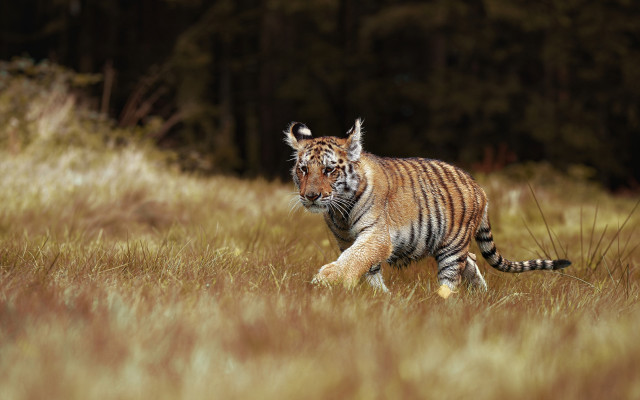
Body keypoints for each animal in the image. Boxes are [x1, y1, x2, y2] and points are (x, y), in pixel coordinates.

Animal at [285, 118, 570, 297]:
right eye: (303, 169)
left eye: (329, 170)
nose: (310, 196)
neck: (339, 211)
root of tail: (480, 188)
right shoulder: (346, 239)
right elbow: (365, 267)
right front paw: (380, 297)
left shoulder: (376, 236)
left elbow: (357, 258)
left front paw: (326, 278)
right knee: (473, 259)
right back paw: (482, 295)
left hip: (452, 247)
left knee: (453, 277)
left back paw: (443, 301)